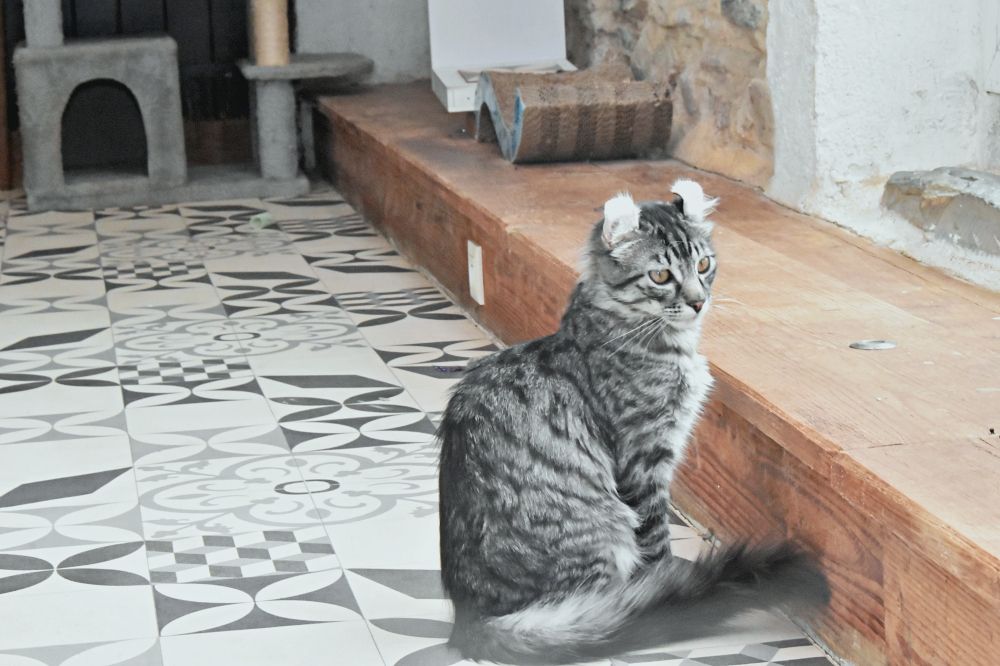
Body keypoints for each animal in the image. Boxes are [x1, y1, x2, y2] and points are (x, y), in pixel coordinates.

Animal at [437, 179, 829, 664]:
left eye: (703, 265)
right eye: (661, 277)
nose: (698, 302)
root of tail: (469, 620)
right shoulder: (645, 458)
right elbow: (657, 538)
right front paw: (665, 582)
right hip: (604, 527)